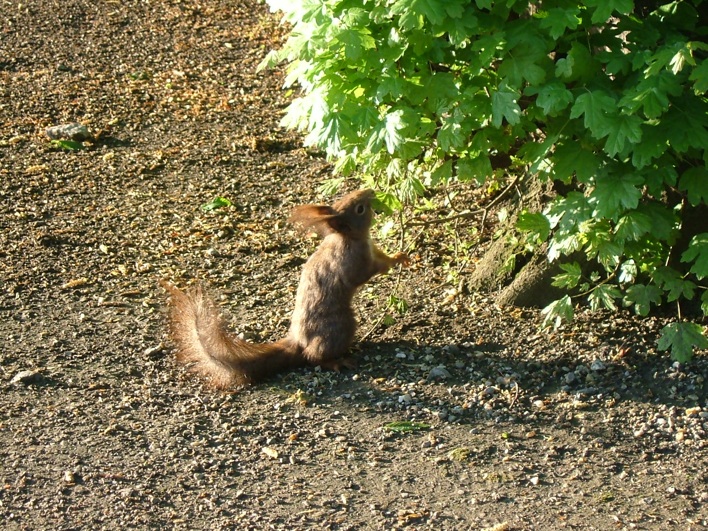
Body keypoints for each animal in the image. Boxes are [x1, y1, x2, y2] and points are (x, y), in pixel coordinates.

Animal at [163, 189, 410, 388]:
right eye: (359, 209)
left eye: (349, 195)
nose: (371, 192)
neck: (346, 237)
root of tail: (298, 342)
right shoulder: (356, 262)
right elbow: (371, 270)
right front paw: (394, 261)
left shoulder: (371, 248)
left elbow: (382, 255)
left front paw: (400, 256)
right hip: (340, 326)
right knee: (315, 357)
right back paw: (338, 362)